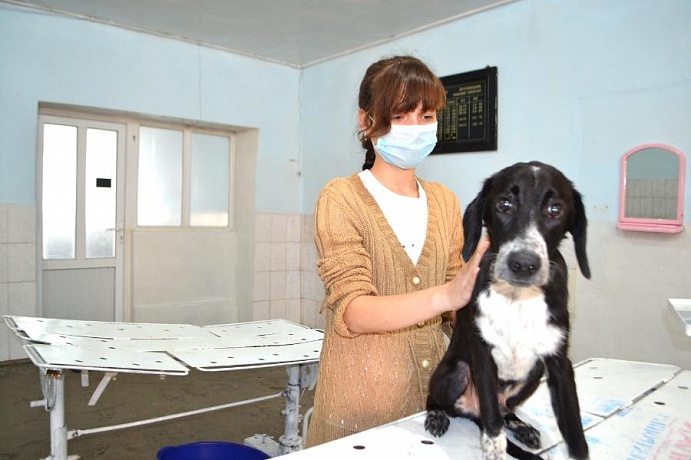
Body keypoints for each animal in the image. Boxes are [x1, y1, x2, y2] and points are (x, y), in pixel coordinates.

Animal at [425, 161, 590, 460]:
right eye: (504, 204)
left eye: (555, 210)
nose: (523, 264)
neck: (517, 299)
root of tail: (472, 411)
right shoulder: (483, 355)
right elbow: (492, 427)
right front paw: (494, 449)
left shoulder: (559, 362)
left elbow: (574, 430)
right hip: (455, 372)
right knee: (450, 402)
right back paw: (437, 415)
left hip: (534, 373)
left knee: (505, 410)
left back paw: (521, 426)